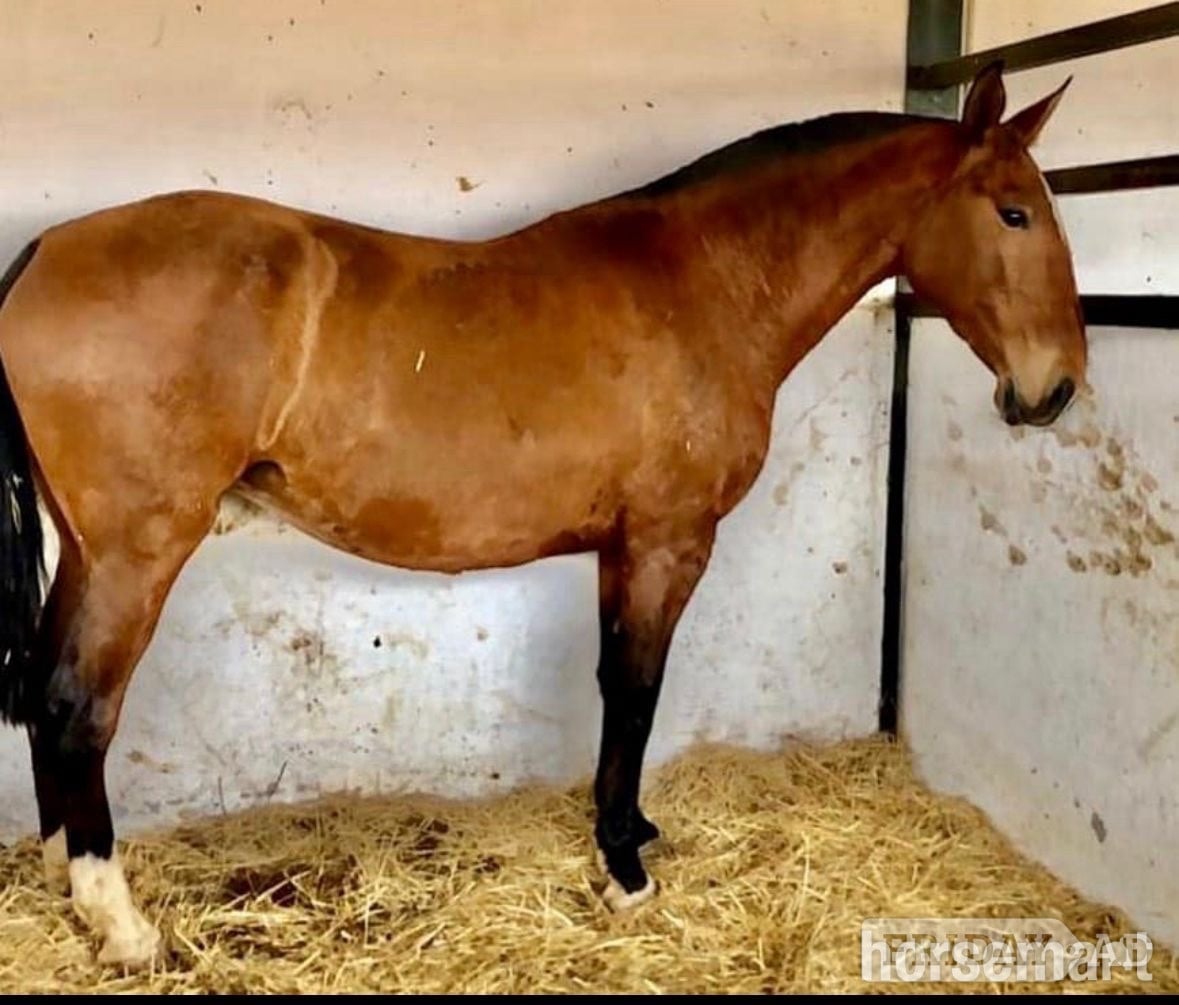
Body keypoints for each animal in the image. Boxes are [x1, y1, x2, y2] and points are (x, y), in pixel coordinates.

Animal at [0, 61, 1085, 967]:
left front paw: (629, 833)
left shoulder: (618, 548)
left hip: (90, 551)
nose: (1056, 389)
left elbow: (614, 684)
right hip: (139, 552)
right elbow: (638, 690)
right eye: (1014, 213)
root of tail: (48, 249)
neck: (706, 284)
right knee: (79, 707)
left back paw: (67, 881)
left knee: (51, 697)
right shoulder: (667, 542)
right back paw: (121, 924)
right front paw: (624, 873)